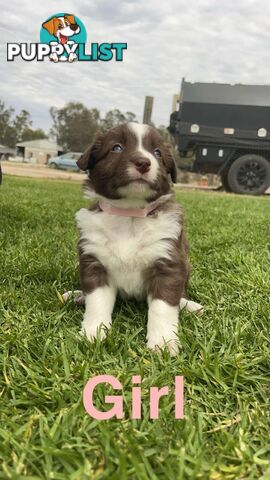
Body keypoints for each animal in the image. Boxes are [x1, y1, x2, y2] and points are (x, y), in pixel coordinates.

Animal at [74, 123, 202, 356]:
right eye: (116, 147)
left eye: (158, 152)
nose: (143, 162)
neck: (129, 215)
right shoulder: (94, 263)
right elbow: (97, 302)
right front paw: (92, 334)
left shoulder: (168, 264)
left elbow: (163, 308)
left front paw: (163, 342)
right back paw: (77, 295)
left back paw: (189, 306)